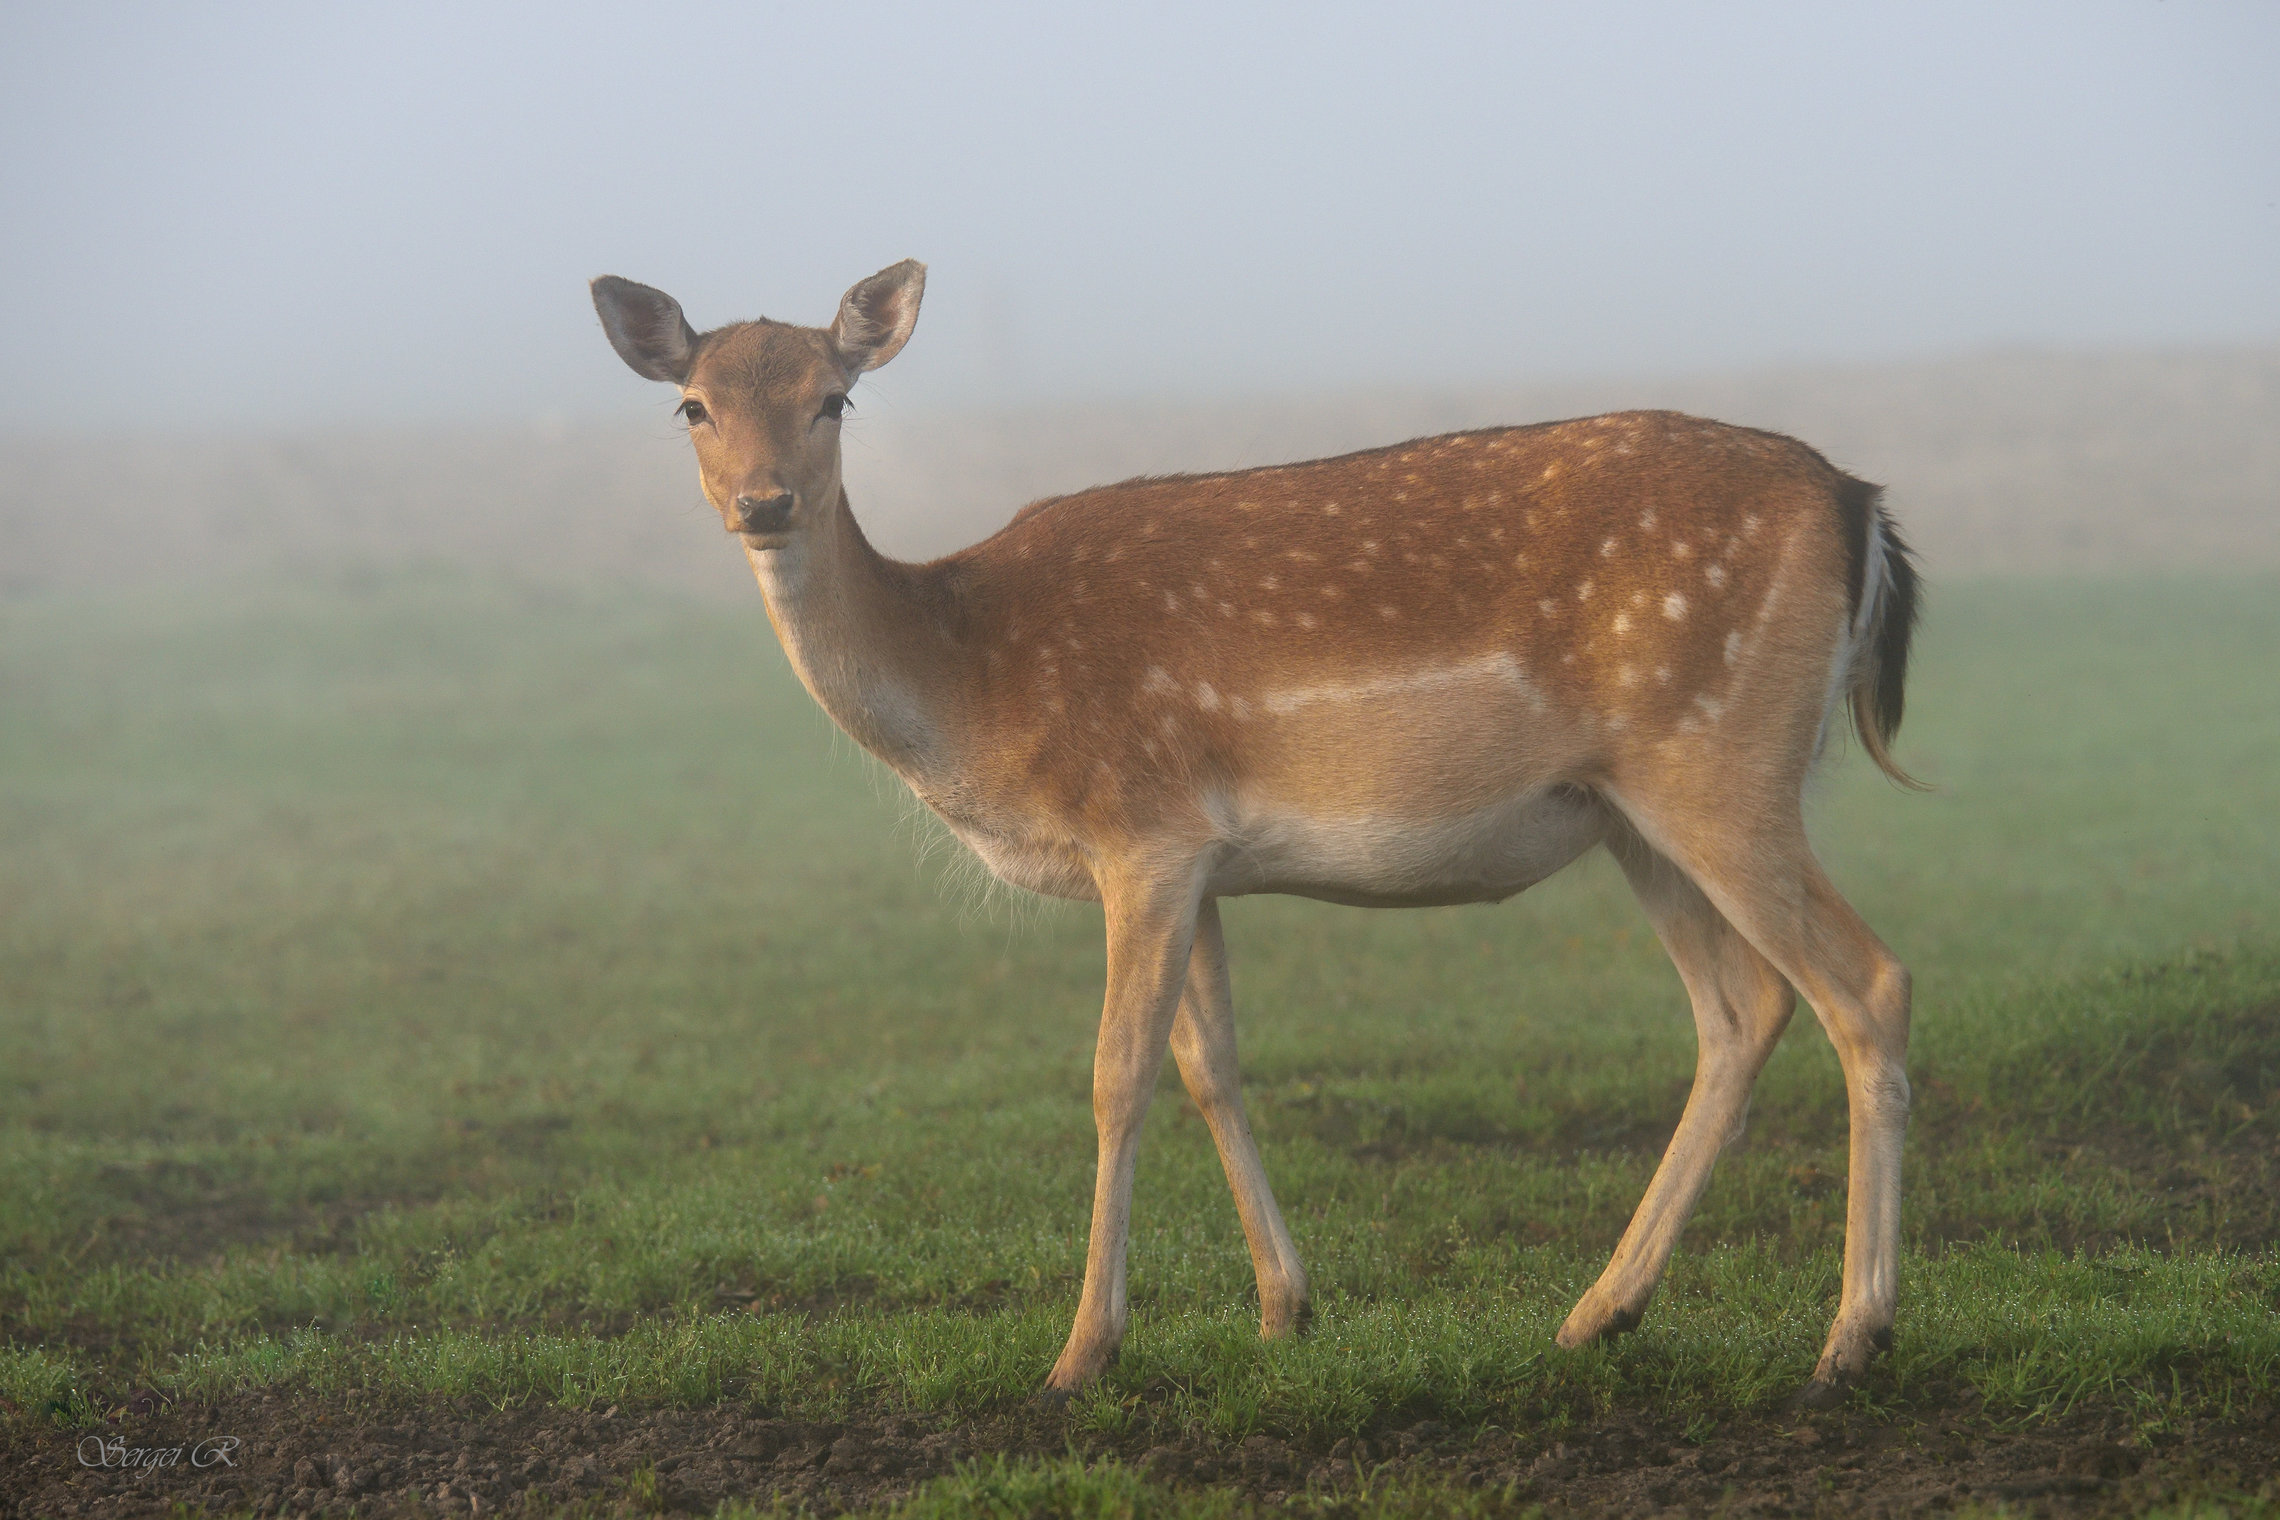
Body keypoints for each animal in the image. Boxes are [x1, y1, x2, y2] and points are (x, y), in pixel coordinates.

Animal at [588, 258, 1924, 1403]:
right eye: (694, 406)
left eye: (835, 398)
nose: (763, 502)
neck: (975, 682)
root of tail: (1861, 508)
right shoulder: (1199, 861)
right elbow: (1211, 1061)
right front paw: (1287, 1306)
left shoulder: (1142, 829)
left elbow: (1117, 1072)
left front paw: (1082, 1351)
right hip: (1633, 808)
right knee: (1743, 1005)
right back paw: (1600, 1311)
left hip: (1722, 761)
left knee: (1866, 979)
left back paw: (1851, 1335)